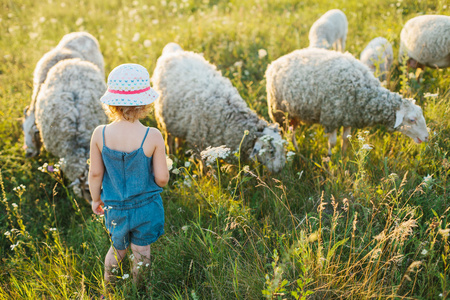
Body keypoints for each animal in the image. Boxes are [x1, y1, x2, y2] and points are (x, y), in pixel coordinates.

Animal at [151, 43, 284, 172]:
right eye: (271, 151)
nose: (279, 171)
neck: (228, 118)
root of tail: (174, 52)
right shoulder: (199, 143)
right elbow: (204, 168)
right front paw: (206, 177)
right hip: (164, 117)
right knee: (168, 138)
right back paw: (171, 154)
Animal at [266, 48, 430, 156]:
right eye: (412, 120)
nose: (427, 137)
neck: (362, 91)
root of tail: (274, 63)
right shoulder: (331, 118)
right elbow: (332, 142)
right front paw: (330, 160)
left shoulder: (349, 117)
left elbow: (345, 139)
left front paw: (343, 157)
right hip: (278, 111)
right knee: (286, 134)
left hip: (294, 113)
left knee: (292, 132)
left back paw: (297, 151)